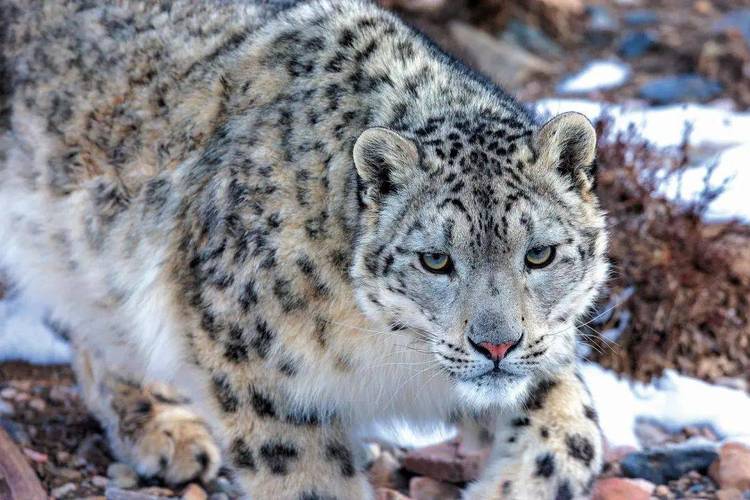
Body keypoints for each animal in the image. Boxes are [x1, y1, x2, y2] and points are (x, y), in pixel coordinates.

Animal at [0, 1, 612, 498]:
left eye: (539, 254)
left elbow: (575, 430)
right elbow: (304, 478)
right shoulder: (258, 373)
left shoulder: (542, 354)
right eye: (435, 260)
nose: (497, 347)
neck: (384, 353)